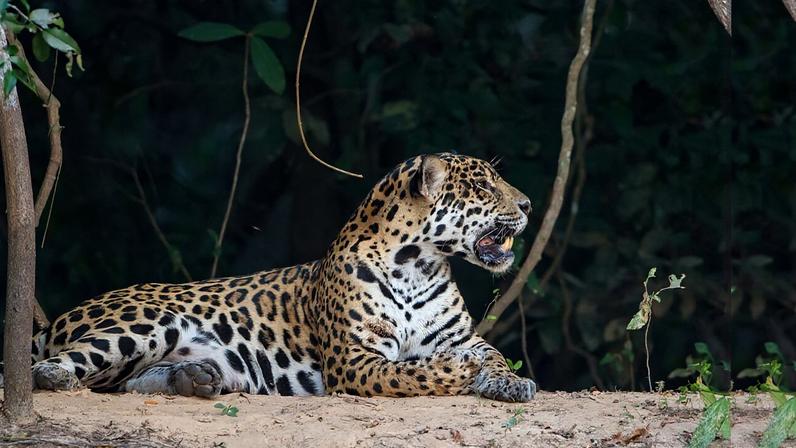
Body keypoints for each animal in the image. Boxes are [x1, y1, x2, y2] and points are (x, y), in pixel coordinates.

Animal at [0, 153, 536, 402]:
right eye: (485, 186)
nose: (529, 204)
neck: (417, 266)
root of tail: (63, 316)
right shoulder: (353, 360)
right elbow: (407, 373)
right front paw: (456, 373)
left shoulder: (461, 336)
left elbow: (493, 354)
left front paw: (511, 383)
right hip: (149, 321)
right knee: (53, 367)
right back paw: (61, 375)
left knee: (123, 382)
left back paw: (195, 378)